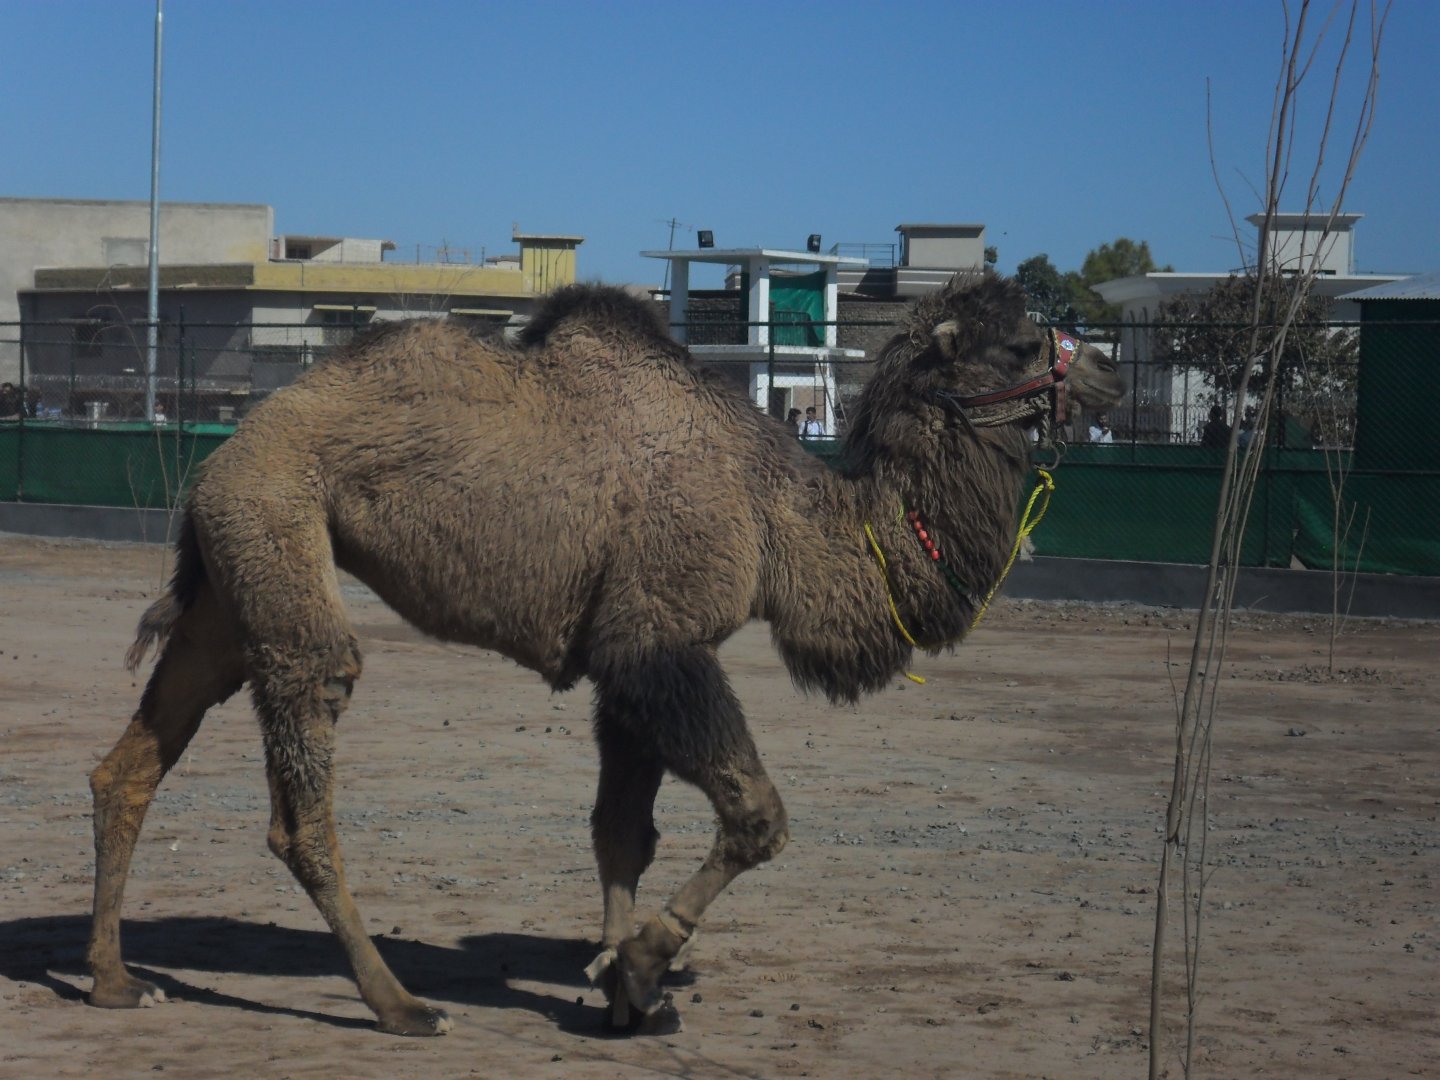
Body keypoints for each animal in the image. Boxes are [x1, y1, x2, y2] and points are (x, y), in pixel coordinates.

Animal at [87, 271, 1124, 1035]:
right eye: (1022, 344)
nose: (1109, 377)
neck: (780, 518)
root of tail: (220, 456)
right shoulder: (661, 641)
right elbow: (758, 817)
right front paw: (642, 962)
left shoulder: (625, 659)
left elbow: (621, 827)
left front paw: (622, 986)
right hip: (278, 527)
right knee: (304, 766)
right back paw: (399, 1005)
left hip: (232, 584)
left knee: (131, 763)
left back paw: (114, 980)